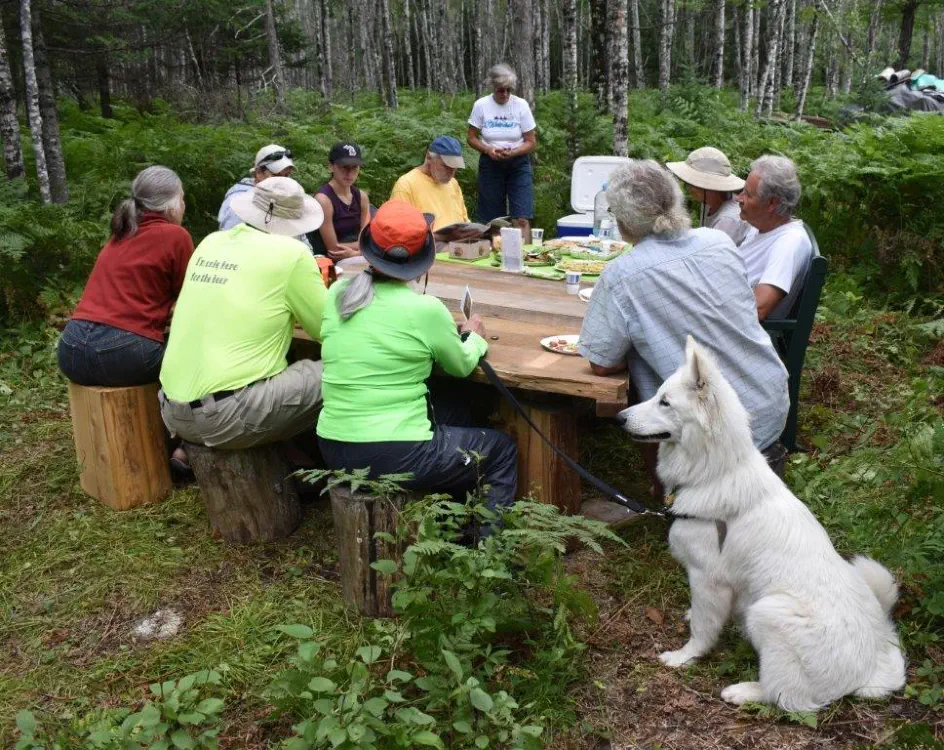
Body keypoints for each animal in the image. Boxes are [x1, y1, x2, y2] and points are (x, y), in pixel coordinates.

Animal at [618, 336, 906, 711]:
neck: (715, 473)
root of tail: (874, 667)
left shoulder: (708, 578)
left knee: (786, 696)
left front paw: (684, 657)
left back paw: (743, 691)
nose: (619, 417)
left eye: (664, 401)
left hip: (767, 611)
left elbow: (703, 630)